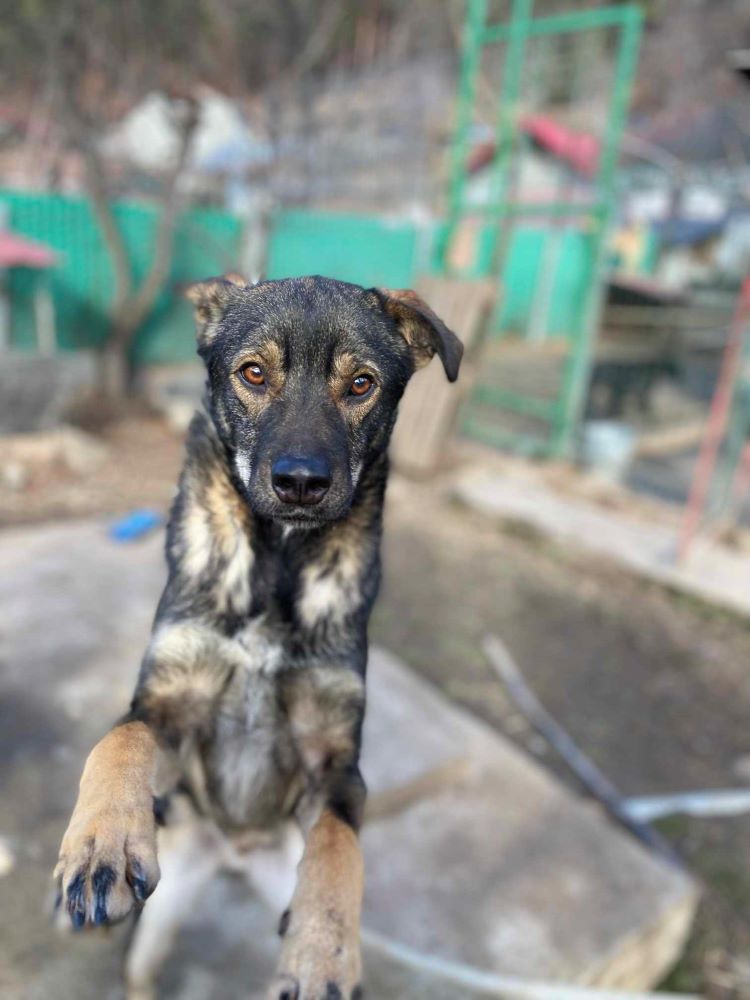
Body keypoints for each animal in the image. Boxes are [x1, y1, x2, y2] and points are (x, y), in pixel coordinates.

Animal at [53, 274, 462, 1000]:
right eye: (252, 373)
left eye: (361, 384)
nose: (300, 483)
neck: (278, 560)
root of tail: (234, 856)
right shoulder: (166, 703)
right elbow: (120, 740)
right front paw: (102, 841)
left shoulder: (335, 761)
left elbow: (339, 847)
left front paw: (323, 947)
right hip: (163, 909)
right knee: (141, 971)